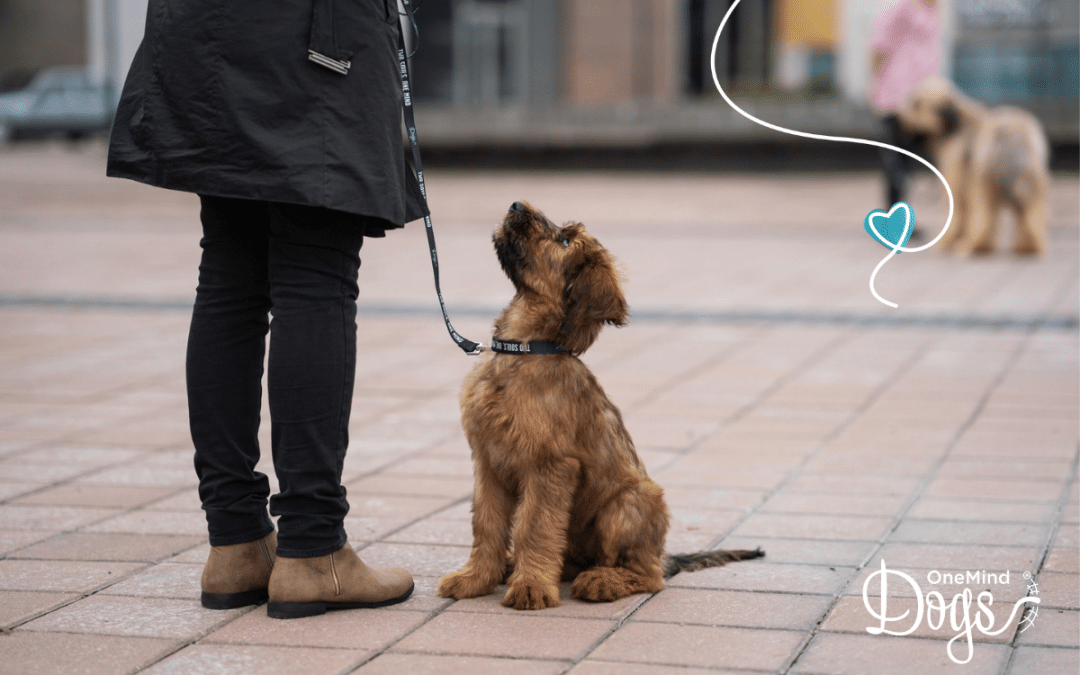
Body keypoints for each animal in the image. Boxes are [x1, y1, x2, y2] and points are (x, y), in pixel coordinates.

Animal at [436, 200, 760, 609]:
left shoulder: (549, 466)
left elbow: (533, 527)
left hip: (626, 504)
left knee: (648, 575)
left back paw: (602, 581)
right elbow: (487, 525)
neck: (523, 351)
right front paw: (476, 578)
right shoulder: (487, 463)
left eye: (563, 240)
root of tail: (662, 555)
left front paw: (531, 588)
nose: (516, 204)